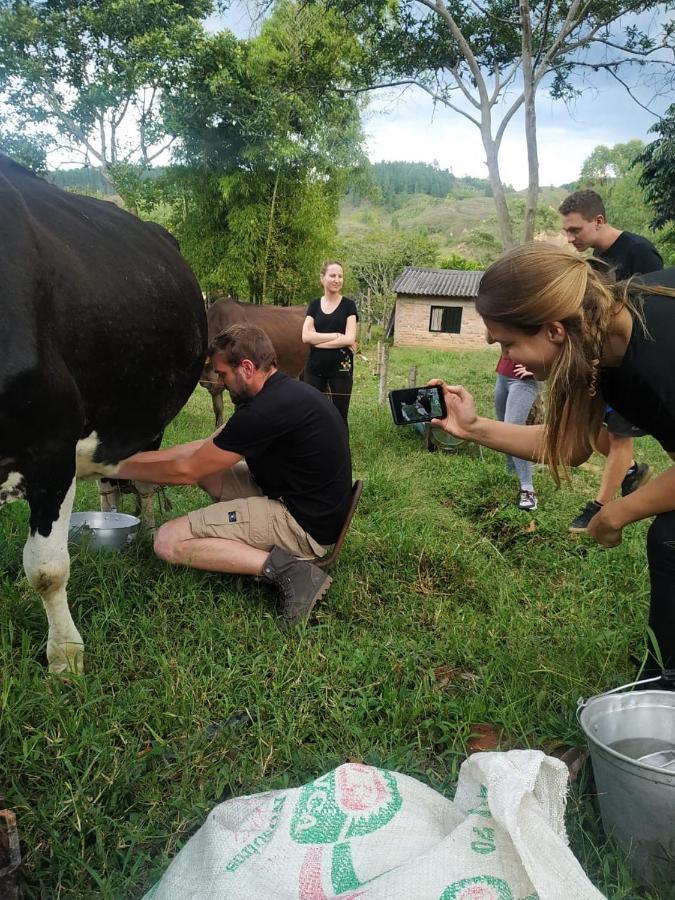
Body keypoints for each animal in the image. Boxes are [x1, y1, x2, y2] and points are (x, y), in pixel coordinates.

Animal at [0, 155, 207, 672]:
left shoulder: (51, 443)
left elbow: (47, 568)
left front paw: (65, 658)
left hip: (149, 421)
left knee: (146, 484)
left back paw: (147, 532)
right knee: (110, 489)